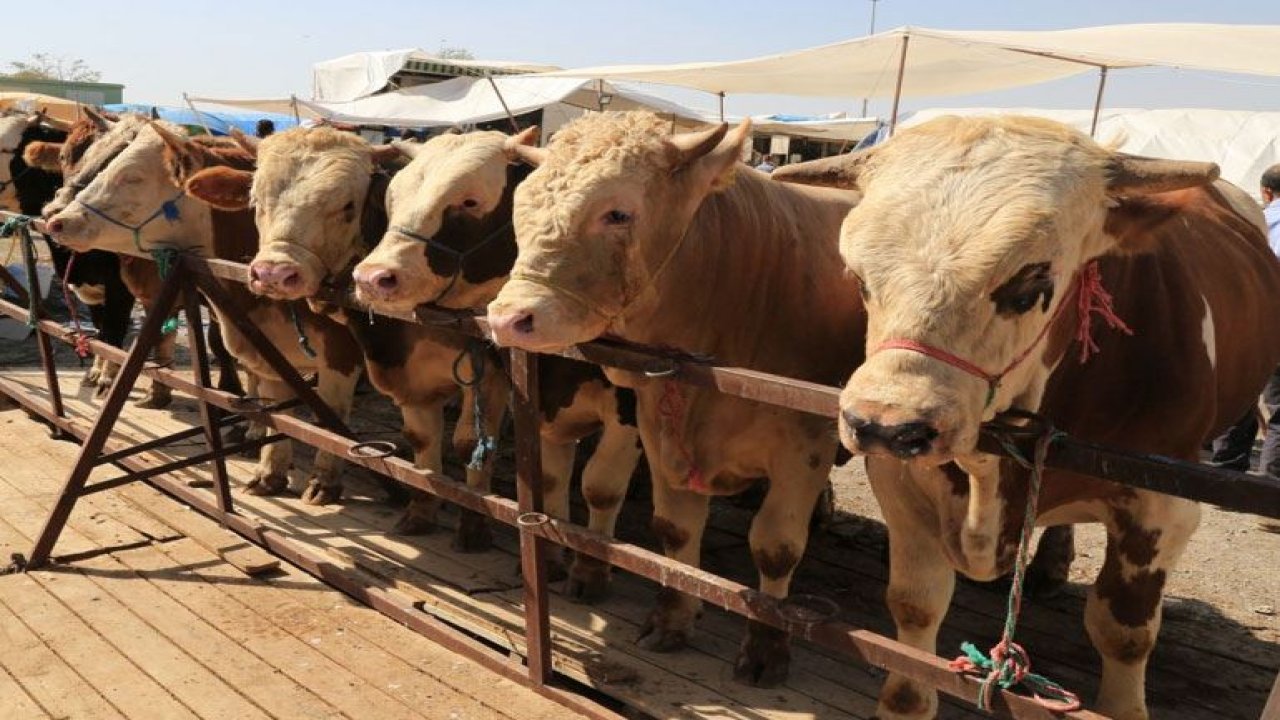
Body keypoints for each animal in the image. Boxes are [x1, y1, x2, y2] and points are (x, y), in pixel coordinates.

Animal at [42, 113, 363, 504]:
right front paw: (267, 468)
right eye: (66, 157)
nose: (56, 218)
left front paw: (323, 481)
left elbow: (332, 421)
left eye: (131, 175)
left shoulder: (342, 353)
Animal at [483, 109, 865, 681]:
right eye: (520, 206)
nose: (509, 318)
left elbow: (775, 546)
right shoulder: (659, 425)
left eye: (618, 212)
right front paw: (673, 617)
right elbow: (675, 531)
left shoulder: (807, 443)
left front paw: (767, 647)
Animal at [773, 114, 1280, 712]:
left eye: (1032, 282)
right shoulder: (901, 479)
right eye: (857, 278)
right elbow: (915, 603)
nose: (883, 424)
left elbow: (1124, 632)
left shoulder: (1164, 507)